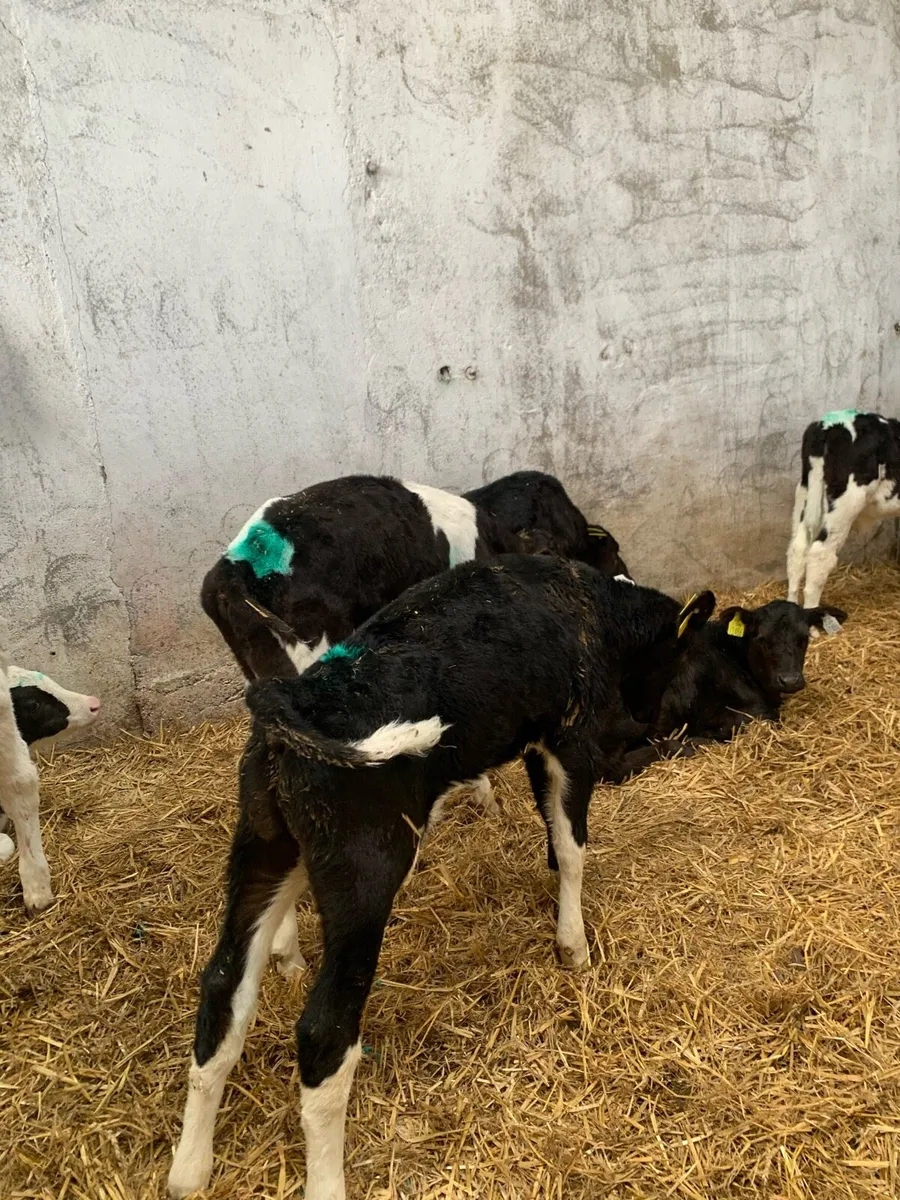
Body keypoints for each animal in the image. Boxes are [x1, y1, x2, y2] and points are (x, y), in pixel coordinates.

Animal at [167, 555, 713, 1200]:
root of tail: (290, 702)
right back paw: (324, 1180)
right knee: (325, 1033)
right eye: (682, 655)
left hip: (264, 848)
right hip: (364, 873)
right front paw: (574, 944)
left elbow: (552, 831)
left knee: (223, 991)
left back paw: (189, 1169)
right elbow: (571, 841)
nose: (651, 720)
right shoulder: (567, 738)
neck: (591, 605)